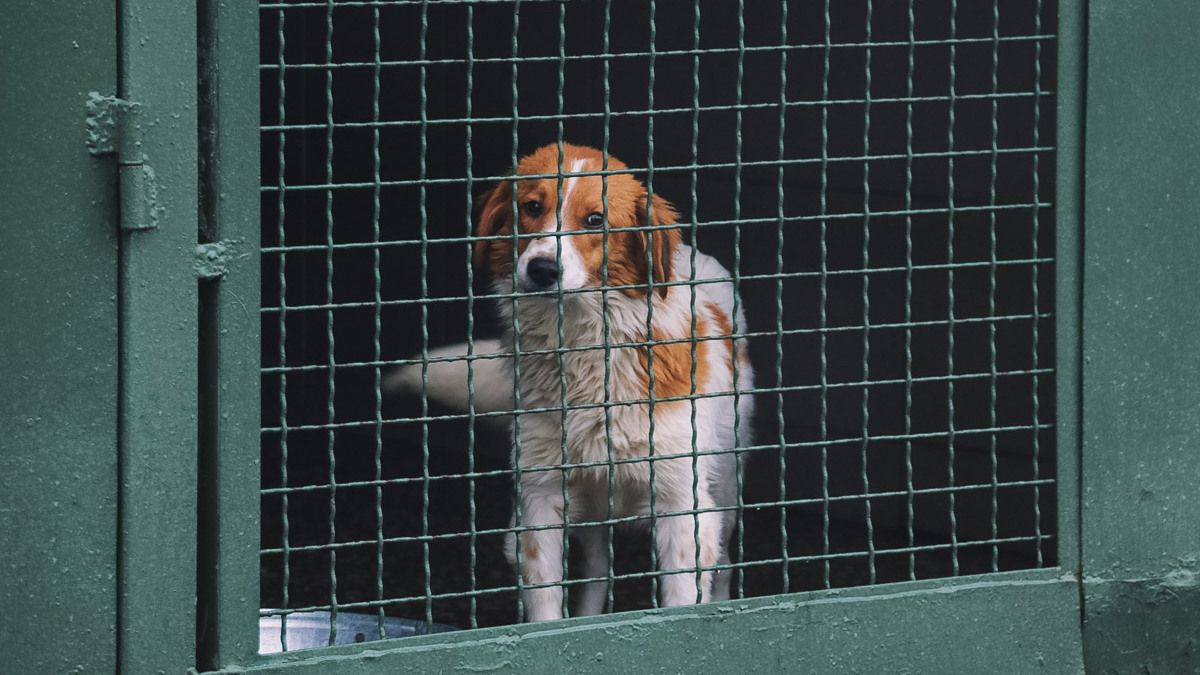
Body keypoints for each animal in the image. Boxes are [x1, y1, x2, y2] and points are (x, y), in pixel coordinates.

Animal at [388, 142, 753, 619]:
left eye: (595, 219)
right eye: (532, 207)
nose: (542, 269)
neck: (583, 344)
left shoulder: (682, 505)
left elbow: (683, 597)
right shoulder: (540, 497)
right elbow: (547, 606)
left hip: (723, 486)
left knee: (724, 564)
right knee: (598, 570)